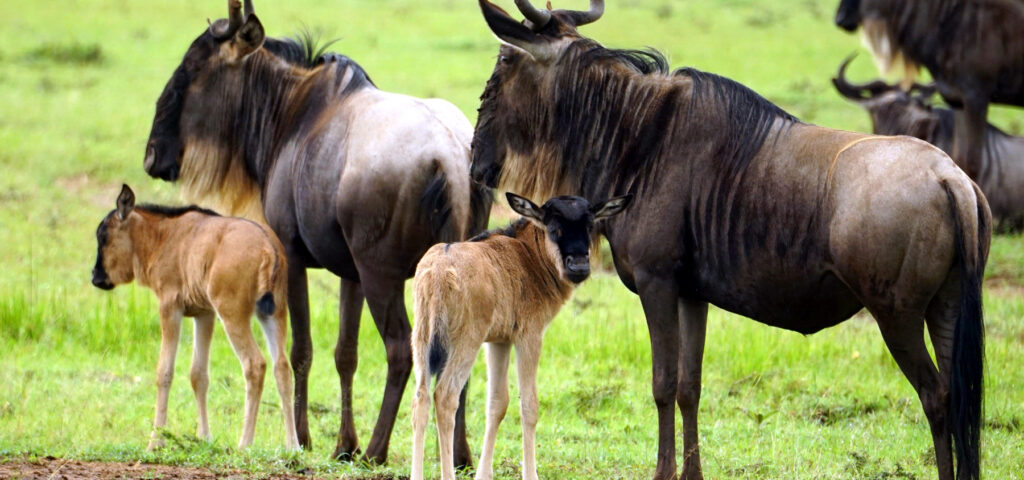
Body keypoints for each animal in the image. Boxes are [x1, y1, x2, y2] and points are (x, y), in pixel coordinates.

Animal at [91, 185, 298, 450]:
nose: (95, 277)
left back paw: (244, 443)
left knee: (255, 364)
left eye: (103, 236)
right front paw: (205, 437)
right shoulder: (204, 314)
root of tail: (267, 246)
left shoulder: (170, 307)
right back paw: (293, 445)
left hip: (233, 315)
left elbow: (164, 372)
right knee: (281, 367)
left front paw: (156, 441)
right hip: (274, 314)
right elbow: (198, 375)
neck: (162, 237)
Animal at [142, 0, 490, 466]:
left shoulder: (291, 257)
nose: (152, 154)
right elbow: (345, 353)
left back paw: (377, 450)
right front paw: (343, 444)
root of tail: (450, 157)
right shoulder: (350, 273)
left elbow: (299, 349)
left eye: (194, 67)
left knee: (400, 350)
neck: (290, 113)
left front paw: (304, 438)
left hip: (382, 275)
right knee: (457, 355)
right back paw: (459, 455)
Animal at [410, 192, 632, 480]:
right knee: (445, 398)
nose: (579, 266)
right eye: (553, 226)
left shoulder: (498, 341)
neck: (527, 254)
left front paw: (484, 474)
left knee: (421, 398)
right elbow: (529, 405)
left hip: (422, 340)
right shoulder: (529, 337)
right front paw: (530, 473)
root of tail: (439, 271)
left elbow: (497, 403)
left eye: (590, 224)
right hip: (465, 342)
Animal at [473, 1, 990, 479]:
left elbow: (662, 382)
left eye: (504, 63)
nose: (477, 160)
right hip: (945, 308)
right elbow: (690, 386)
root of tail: (951, 178)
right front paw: (692, 474)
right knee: (959, 396)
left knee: (936, 395)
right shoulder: (691, 294)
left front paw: (663, 473)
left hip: (897, 317)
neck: (639, 139)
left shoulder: (657, 284)